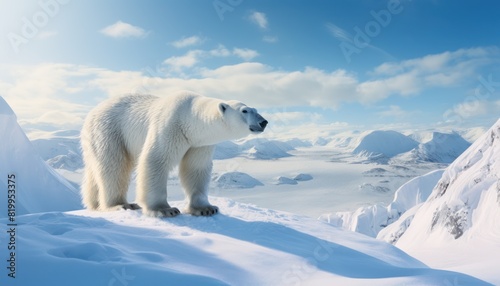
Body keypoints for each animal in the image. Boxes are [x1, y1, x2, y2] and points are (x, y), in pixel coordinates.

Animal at [81, 91, 270, 217]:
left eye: (255, 109)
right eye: (244, 111)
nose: (264, 122)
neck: (190, 117)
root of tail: (91, 113)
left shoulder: (199, 143)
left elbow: (196, 168)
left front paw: (206, 208)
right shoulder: (171, 126)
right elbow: (156, 160)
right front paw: (165, 209)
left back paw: (94, 204)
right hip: (110, 130)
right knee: (114, 167)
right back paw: (122, 205)